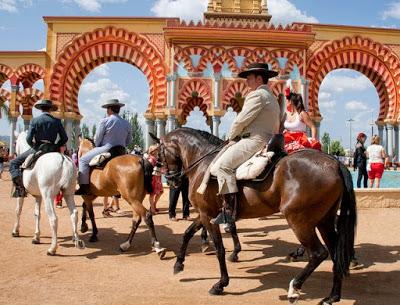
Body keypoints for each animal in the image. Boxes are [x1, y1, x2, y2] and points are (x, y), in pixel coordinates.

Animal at [155, 127, 356, 304]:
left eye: (159, 153)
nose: (171, 179)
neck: (203, 163)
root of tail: (335, 163)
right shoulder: (206, 213)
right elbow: (187, 233)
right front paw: (178, 264)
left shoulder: (207, 214)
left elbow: (219, 249)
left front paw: (221, 283)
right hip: (325, 221)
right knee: (335, 253)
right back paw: (332, 296)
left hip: (299, 221)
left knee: (318, 253)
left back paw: (294, 288)